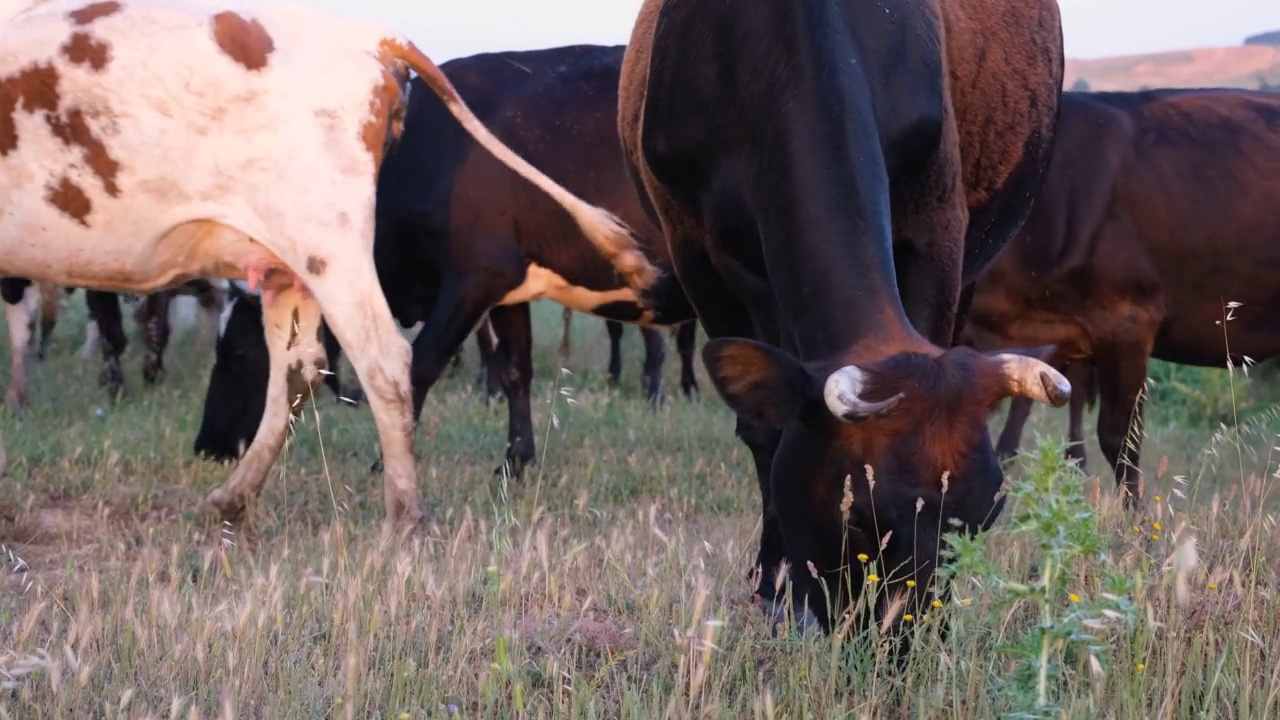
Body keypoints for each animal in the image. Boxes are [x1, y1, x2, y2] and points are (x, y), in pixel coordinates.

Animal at [194, 41, 696, 474]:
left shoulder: (476, 277)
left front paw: (386, 465)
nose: (206, 447)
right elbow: (515, 371)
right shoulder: (510, 287)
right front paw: (516, 462)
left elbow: (419, 366)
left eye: (241, 351)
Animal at [619, 0, 1070, 638]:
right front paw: (776, 588)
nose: (907, 639)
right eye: (857, 517)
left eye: (983, 518)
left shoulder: (939, 225)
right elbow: (764, 428)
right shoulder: (696, 254)